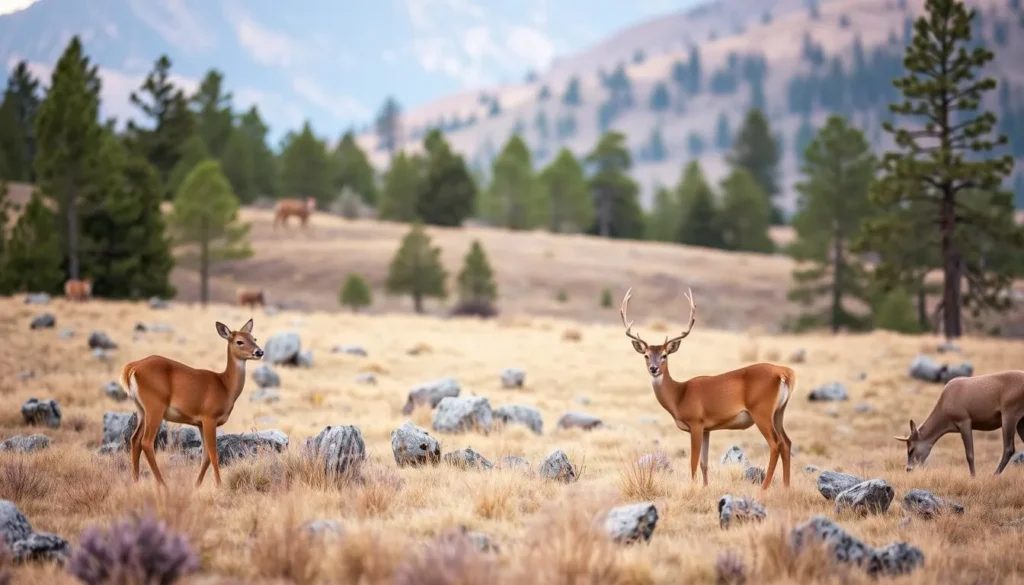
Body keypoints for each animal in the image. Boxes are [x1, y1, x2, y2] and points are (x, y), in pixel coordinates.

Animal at [119, 319, 264, 488]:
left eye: (254, 338)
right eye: (239, 341)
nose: (259, 352)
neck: (225, 386)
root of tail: (132, 368)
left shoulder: (200, 422)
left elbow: (206, 456)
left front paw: (197, 485)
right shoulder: (209, 417)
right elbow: (214, 453)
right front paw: (219, 484)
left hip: (141, 408)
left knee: (134, 439)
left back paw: (136, 481)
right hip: (155, 405)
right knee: (146, 442)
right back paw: (163, 484)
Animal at [619, 288, 795, 490]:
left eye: (664, 355)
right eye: (646, 356)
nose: (654, 368)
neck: (679, 395)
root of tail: (784, 372)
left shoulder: (696, 422)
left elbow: (693, 461)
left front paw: (693, 487)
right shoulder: (707, 428)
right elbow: (704, 463)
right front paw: (704, 487)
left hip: (762, 410)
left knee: (776, 444)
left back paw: (764, 488)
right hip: (779, 411)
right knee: (787, 442)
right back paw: (786, 487)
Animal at [895, 370, 1024, 476]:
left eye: (911, 449)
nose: (908, 469)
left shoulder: (964, 420)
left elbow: (969, 454)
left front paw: (973, 476)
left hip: (1009, 412)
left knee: (1009, 449)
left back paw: (994, 475)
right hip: (1020, 420)